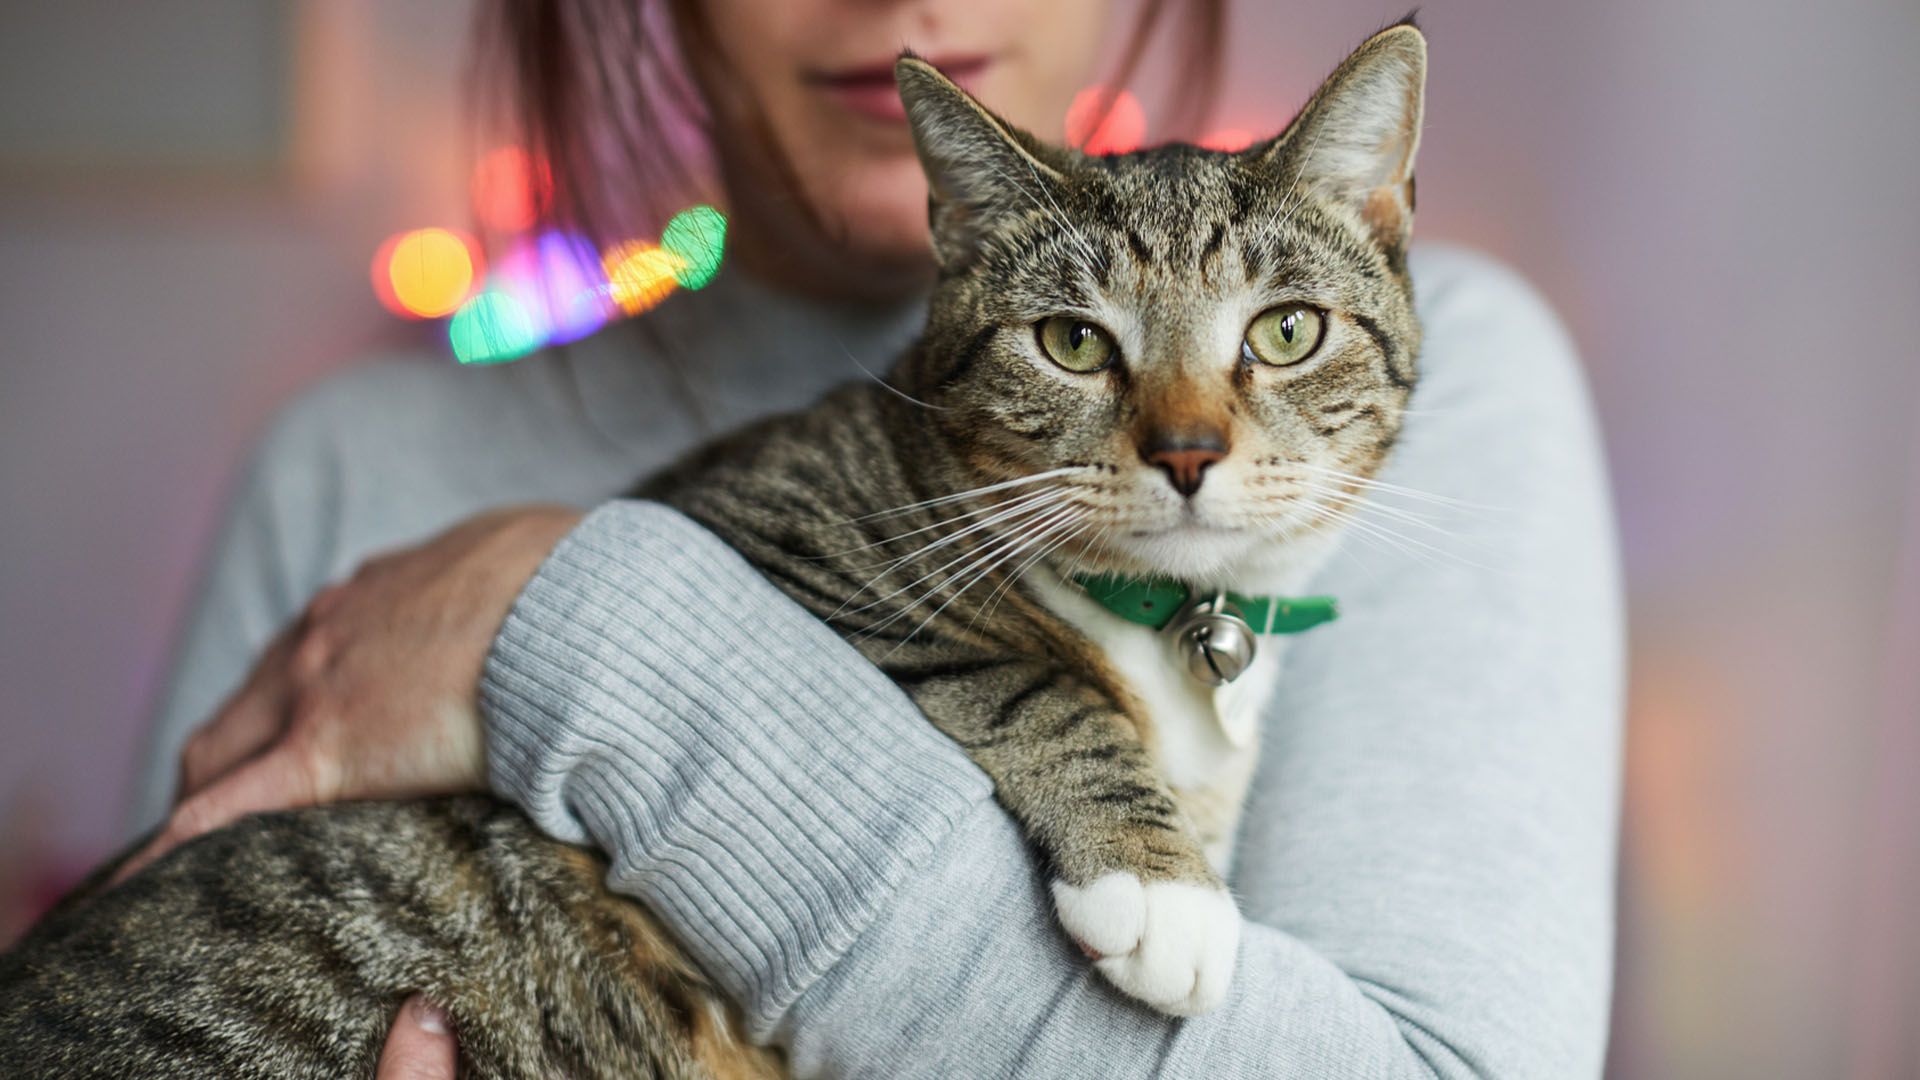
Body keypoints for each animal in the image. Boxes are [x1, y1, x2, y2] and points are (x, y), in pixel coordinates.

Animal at [0, 21, 1420, 1068]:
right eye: (1072, 342)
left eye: (1286, 330)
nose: (1185, 451)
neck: (1165, 615)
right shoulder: (759, 541)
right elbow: (1020, 675)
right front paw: (1160, 889)